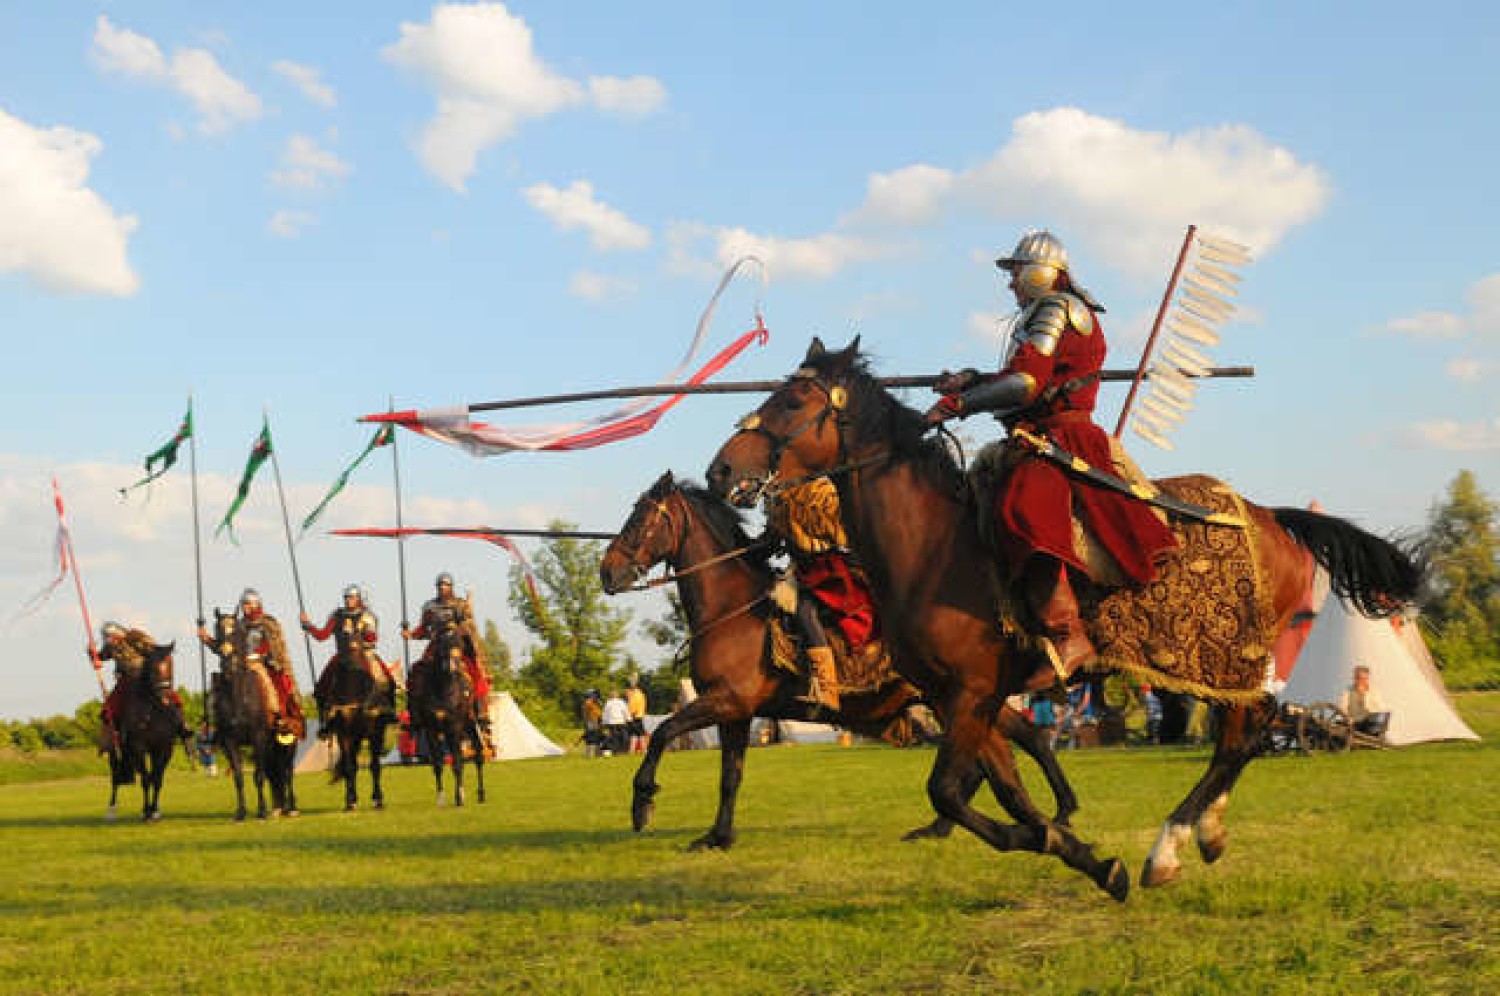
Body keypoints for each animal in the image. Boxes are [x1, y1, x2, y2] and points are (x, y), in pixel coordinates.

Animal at [597, 474, 1080, 846]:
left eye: (640, 520)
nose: (607, 573)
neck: (730, 609)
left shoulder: (726, 701)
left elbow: (662, 734)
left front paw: (643, 804)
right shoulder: (736, 712)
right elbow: (729, 776)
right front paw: (717, 837)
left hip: (956, 702)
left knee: (1004, 753)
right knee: (1014, 747)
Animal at [702, 339, 1416, 900]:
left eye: (793, 401)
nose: (720, 469)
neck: (930, 545)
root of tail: (1270, 516)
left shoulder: (972, 694)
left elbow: (950, 793)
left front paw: (1079, 849)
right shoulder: (965, 700)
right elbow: (1006, 792)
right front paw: (1079, 852)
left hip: (1215, 655)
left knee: (1248, 730)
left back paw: (1169, 846)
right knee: (1248, 729)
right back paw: (1204, 834)